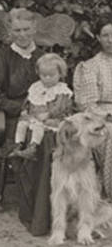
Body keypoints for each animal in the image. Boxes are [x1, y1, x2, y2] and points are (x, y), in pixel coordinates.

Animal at [48, 112, 112, 245]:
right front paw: (56, 237)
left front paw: (85, 236)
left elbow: (86, 218)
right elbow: (58, 217)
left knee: (94, 221)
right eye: (87, 118)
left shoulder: (86, 192)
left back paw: (95, 232)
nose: (108, 115)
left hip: (107, 207)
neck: (74, 157)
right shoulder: (59, 193)